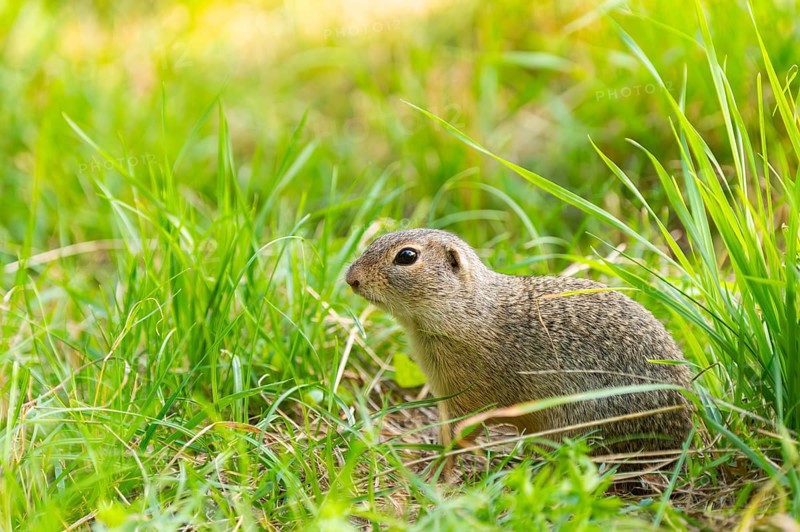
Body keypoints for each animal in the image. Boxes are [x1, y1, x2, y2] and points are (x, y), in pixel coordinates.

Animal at [345, 228, 693, 468]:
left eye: (406, 256)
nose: (351, 278)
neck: (468, 310)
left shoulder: (470, 393)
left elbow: (459, 432)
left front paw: (435, 468)